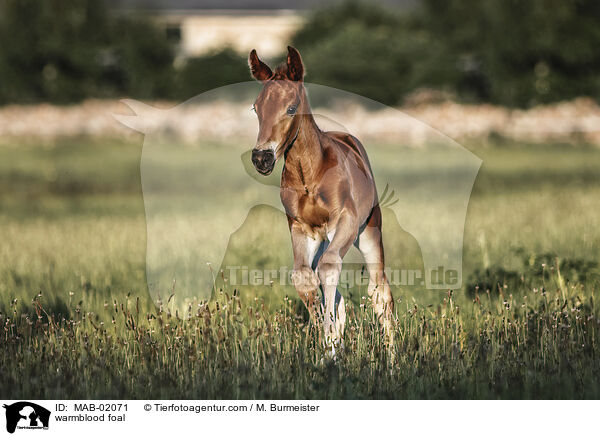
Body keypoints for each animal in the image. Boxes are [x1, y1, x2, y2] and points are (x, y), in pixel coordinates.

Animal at [248, 46, 394, 348]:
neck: (310, 176)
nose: (261, 158)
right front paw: (328, 341)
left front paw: (329, 341)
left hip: (368, 230)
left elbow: (328, 270)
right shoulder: (300, 228)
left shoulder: (346, 220)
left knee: (379, 290)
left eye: (291, 108)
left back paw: (392, 355)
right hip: (324, 238)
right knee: (336, 293)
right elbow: (305, 279)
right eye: (256, 108)